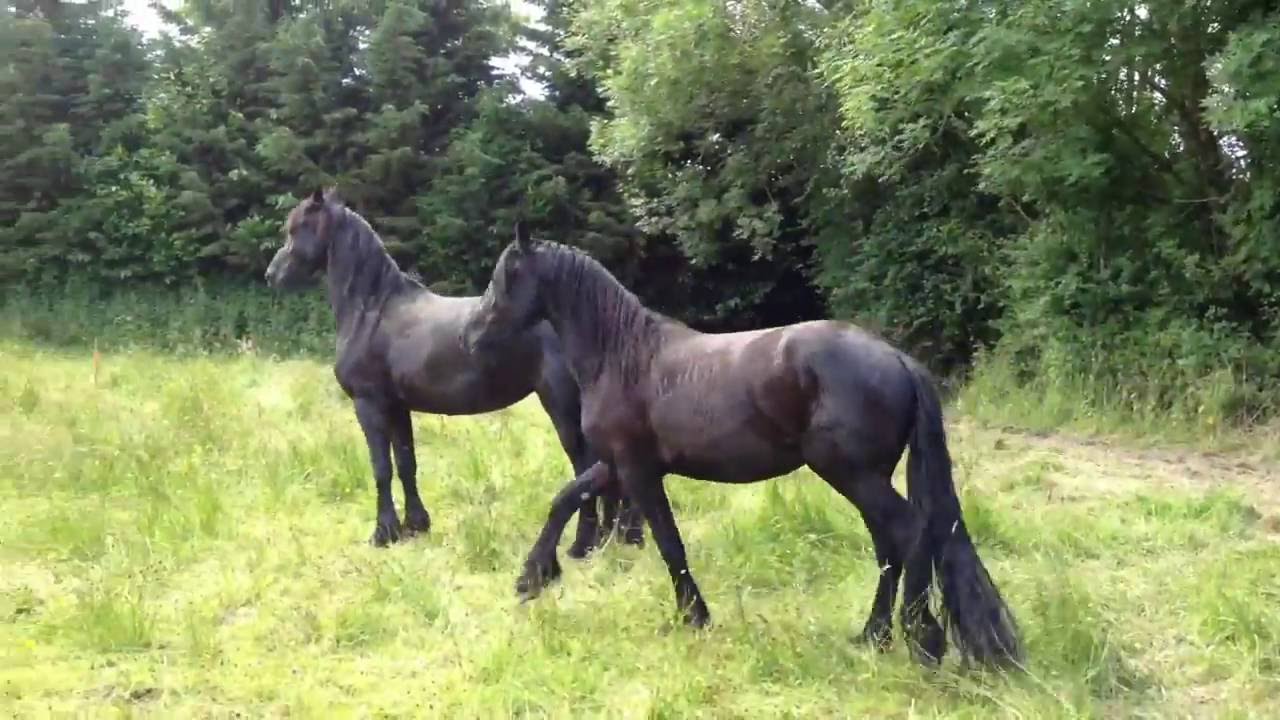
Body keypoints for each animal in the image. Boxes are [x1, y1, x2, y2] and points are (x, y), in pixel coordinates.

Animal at [264, 188, 644, 555]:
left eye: (297, 228)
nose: (272, 275)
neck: (373, 309)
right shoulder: (397, 407)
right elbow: (406, 463)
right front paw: (415, 526)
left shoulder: (369, 404)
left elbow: (381, 468)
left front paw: (383, 533)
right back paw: (615, 537)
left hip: (562, 406)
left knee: (586, 467)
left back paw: (587, 542)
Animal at [461, 223, 1024, 669]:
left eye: (506, 275)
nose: (469, 336)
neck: (625, 355)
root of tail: (897, 359)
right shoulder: (616, 465)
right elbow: (565, 498)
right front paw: (534, 576)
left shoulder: (638, 470)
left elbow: (669, 543)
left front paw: (693, 617)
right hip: (865, 479)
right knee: (891, 544)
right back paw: (873, 637)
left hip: (853, 475)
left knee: (910, 537)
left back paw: (922, 641)